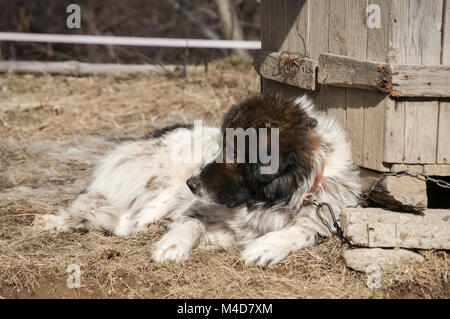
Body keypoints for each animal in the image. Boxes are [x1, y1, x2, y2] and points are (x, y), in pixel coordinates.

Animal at [33, 94, 360, 268]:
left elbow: (302, 230)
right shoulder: (195, 206)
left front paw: (266, 246)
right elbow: (191, 221)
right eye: (219, 146)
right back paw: (50, 223)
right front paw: (173, 245)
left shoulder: (321, 213)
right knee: (118, 220)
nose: (191, 184)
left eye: (233, 151)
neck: (268, 200)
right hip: (160, 189)